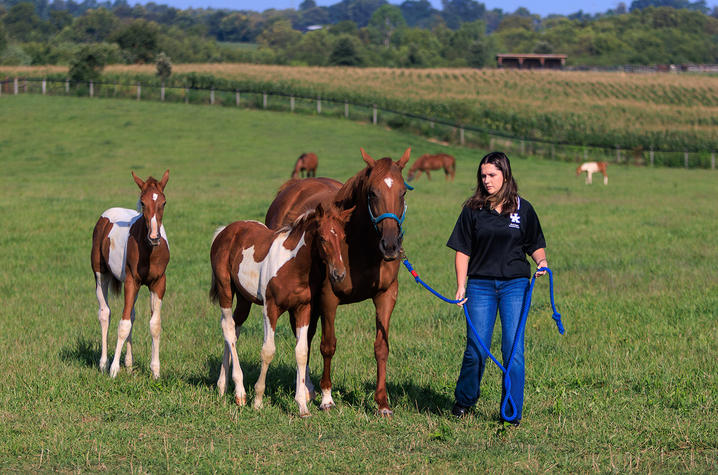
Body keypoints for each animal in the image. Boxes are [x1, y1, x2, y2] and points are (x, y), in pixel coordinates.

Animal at [91, 170, 170, 379]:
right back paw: (103, 363)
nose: (154, 237)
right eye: (142, 202)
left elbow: (154, 324)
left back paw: (128, 363)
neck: (149, 251)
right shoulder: (131, 282)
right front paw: (113, 369)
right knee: (105, 313)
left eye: (164, 202)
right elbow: (123, 324)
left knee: (132, 314)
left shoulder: (159, 283)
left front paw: (155, 371)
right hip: (101, 275)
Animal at [209, 203, 352, 417]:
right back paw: (240, 392)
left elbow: (302, 352)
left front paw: (302, 406)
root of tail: (224, 231)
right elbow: (268, 350)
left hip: (244, 298)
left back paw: (222, 386)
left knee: (234, 329)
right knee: (227, 326)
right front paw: (258, 400)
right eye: (322, 238)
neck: (293, 267)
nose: (339, 274)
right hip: (225, 288)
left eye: (343, 237)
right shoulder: (271, 309)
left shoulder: (303, 309)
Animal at [265, 147, 411, 416]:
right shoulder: (328, 298)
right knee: (305, 339)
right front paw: (326, 398)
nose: (390, 245)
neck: (359, 246)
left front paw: (382, 403)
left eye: (403, 192)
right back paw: (307, 390)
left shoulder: (386, 295)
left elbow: (381, 347)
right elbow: (328, 346)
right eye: (372, 193)